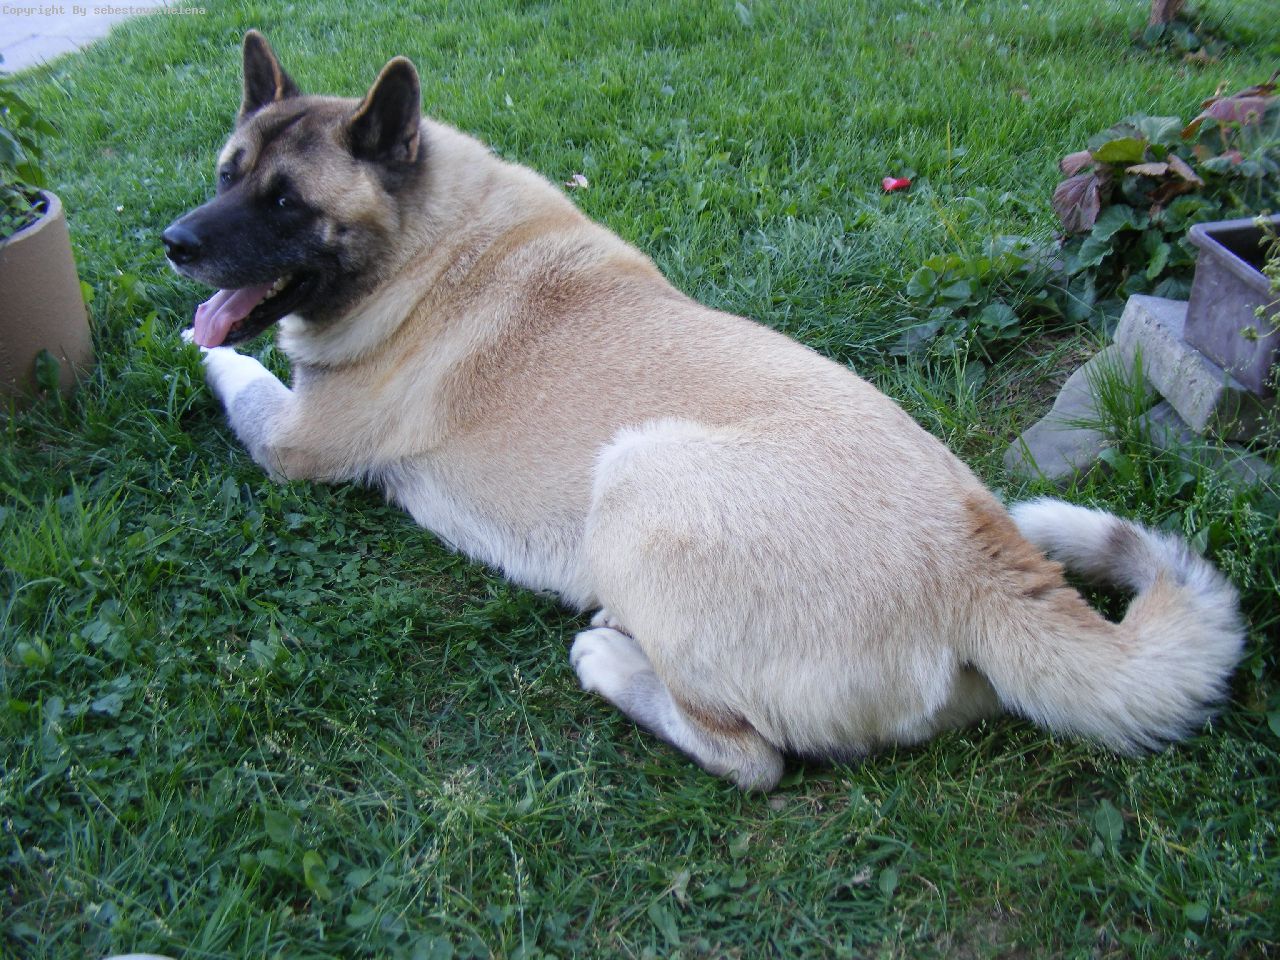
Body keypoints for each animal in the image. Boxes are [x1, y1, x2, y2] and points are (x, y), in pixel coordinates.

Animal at [163, 31, 1245, 790]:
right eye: (226, 173)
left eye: (286, 203)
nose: (174, 242)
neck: (429, 235)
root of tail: (974, 562)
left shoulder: (293, 443)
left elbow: (234, 372)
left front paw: (188, 351)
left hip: (636, 476)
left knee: (748, 757)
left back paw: (611, 658)